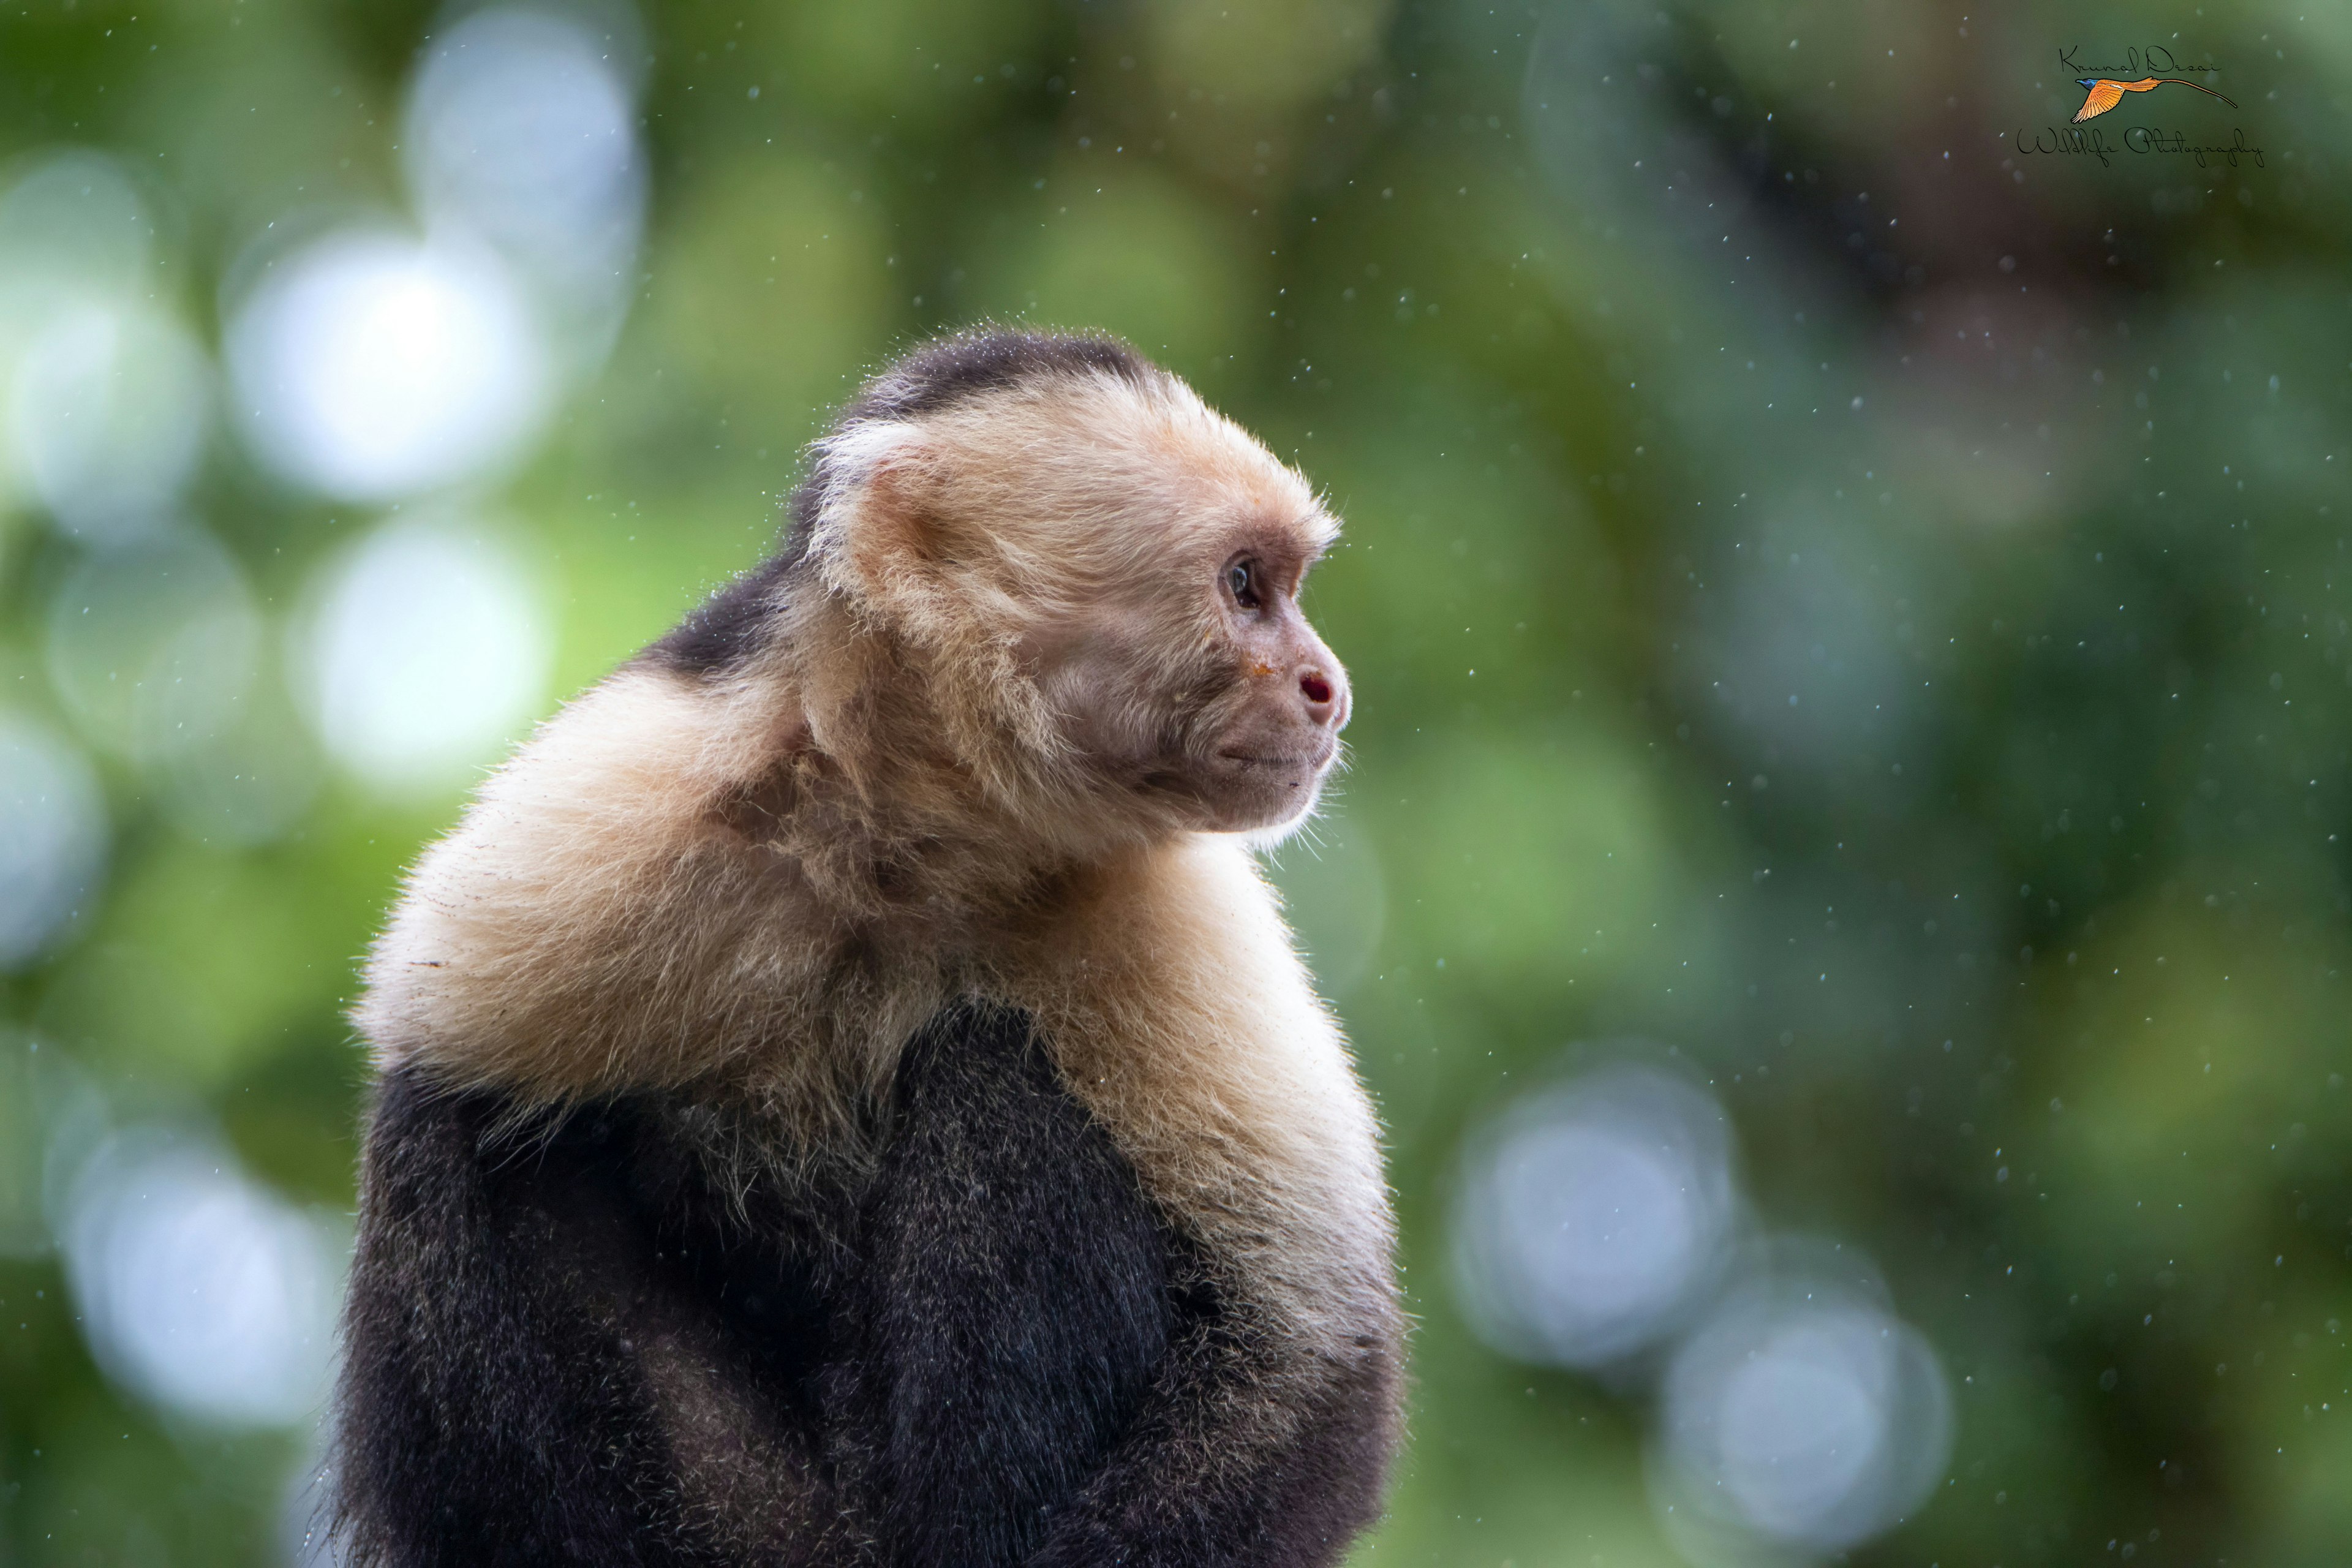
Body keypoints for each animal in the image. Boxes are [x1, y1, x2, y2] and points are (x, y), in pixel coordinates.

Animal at [331, 324, 1392, 1561]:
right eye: (1245, 586)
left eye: (1282, 585)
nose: (1331, 689)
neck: (905, 840)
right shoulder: (612, 801)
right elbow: (437, 1099)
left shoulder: (1154, 900)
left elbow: (1304, 1351)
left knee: (995, 1074)